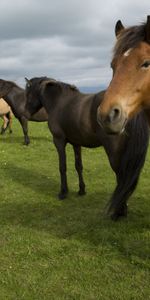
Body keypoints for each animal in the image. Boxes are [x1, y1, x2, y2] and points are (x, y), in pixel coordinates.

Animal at [24, 77, 149, 220]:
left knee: (122, 178)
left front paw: (63, 192)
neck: (59, 102)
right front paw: (81, 190)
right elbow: (78, 166)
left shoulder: (59, 141)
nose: (25, 113)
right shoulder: (76, 143)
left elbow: (62, 167)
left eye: (28, 93)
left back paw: (118, 213)